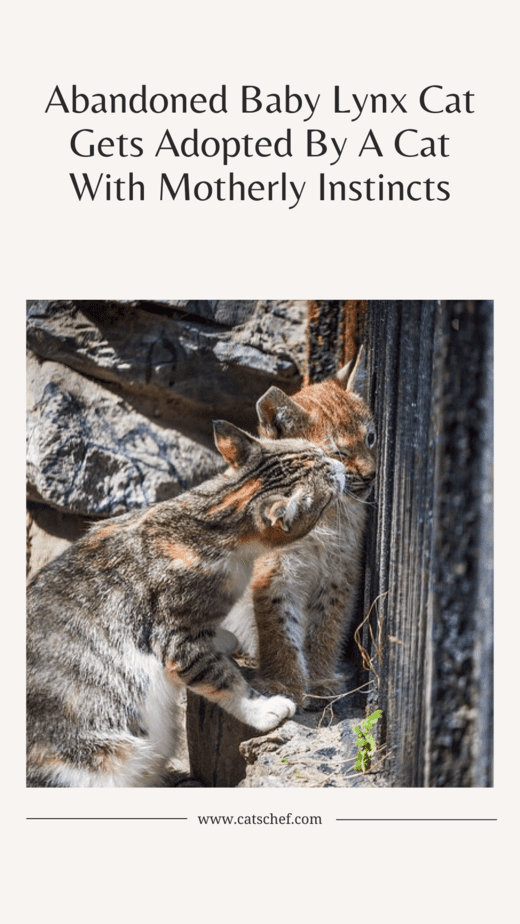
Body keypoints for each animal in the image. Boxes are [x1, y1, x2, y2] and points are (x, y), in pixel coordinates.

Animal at [27, 418, 346, 788]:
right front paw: (264, 709)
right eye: (327, 482)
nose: (340, 466)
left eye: (318, 452)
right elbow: (224, 679)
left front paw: (221, 637)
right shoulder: (176, 639)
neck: (210, 520)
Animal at [223, 350, 378, 704]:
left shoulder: (341, 571)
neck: (324, 515)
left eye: (371, 438)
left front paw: (319, 678)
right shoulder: (274, 572)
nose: (372, 475)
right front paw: (286, 684)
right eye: (338, 454)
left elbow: (327, 624)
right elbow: (279, 628)